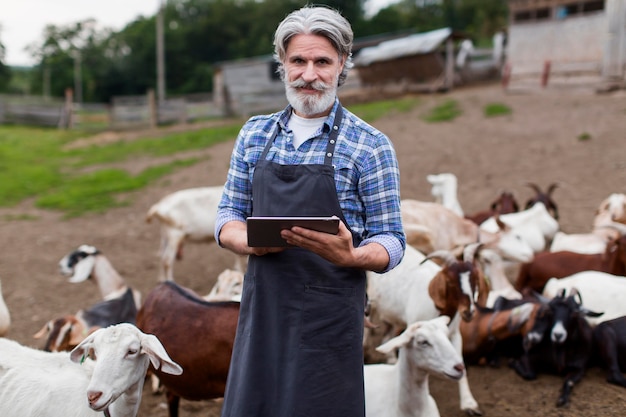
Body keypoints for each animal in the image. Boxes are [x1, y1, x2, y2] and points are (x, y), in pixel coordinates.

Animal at [366, 242, 488, 414]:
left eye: (475, 280)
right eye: (450, 281)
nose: (468, 312)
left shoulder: (454, 334)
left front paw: (469, 403)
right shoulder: (414, 326)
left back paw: (390, 358)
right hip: (371, 300)